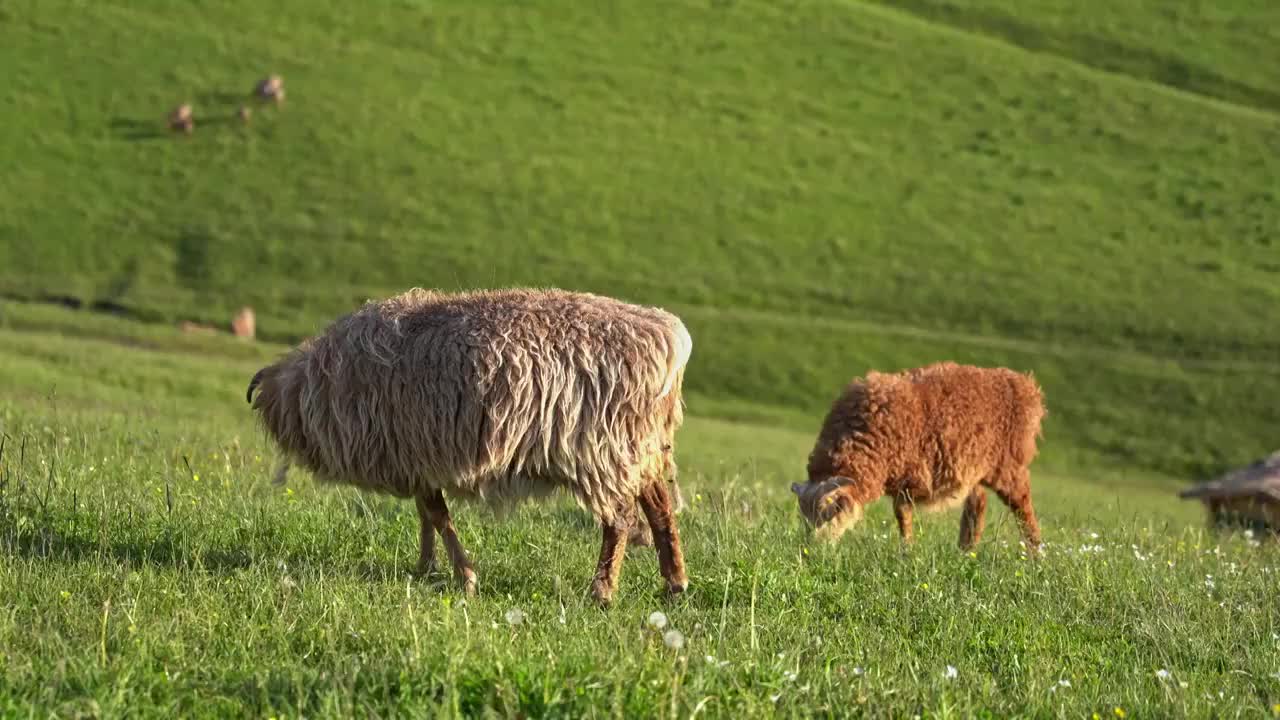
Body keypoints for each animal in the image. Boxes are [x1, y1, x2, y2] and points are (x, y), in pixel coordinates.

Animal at [788, 358, 1049, 548]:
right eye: (804, 518)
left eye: (830, 513)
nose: (810, 549)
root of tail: (1026, 388)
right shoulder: (901, 481)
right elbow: (903, 518)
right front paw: (908, 551)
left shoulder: (906, 478)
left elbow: (902, 516)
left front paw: (906, 552)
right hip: (975, 468)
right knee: (978, 504)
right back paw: (965, 551)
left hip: (1010, 466)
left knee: (1023, 507)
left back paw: (1036, 555)